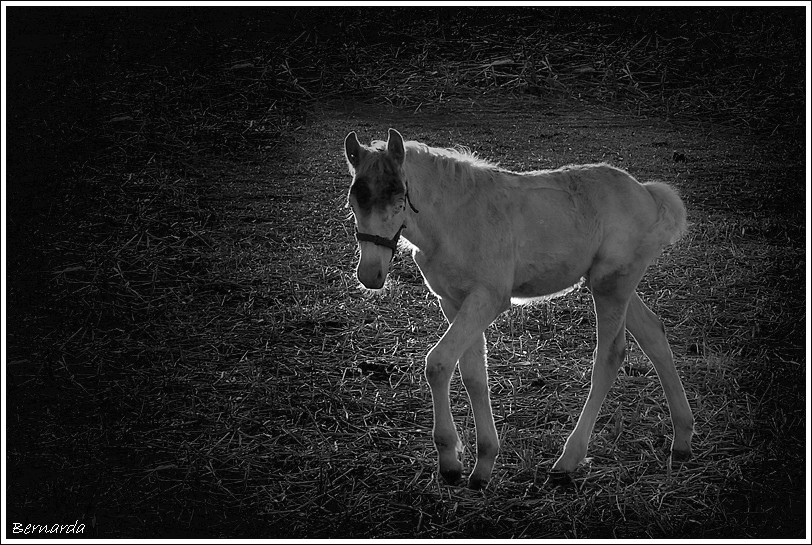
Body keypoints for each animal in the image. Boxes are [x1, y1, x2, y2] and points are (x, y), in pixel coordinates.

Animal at [346, 127, 696, 488]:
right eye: (353, 202)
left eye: (399, 200)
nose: (370, 275)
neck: (456, 219)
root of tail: (646, 193)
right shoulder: (453, 302)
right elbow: (473, 374)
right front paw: (482, 463)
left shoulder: (488, 298)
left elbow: (439, 364)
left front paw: (449, 460)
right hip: (614, 285)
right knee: (654, 335)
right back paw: (682, 439)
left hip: (610, 286)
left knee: (610, 355)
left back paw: (568, 459)